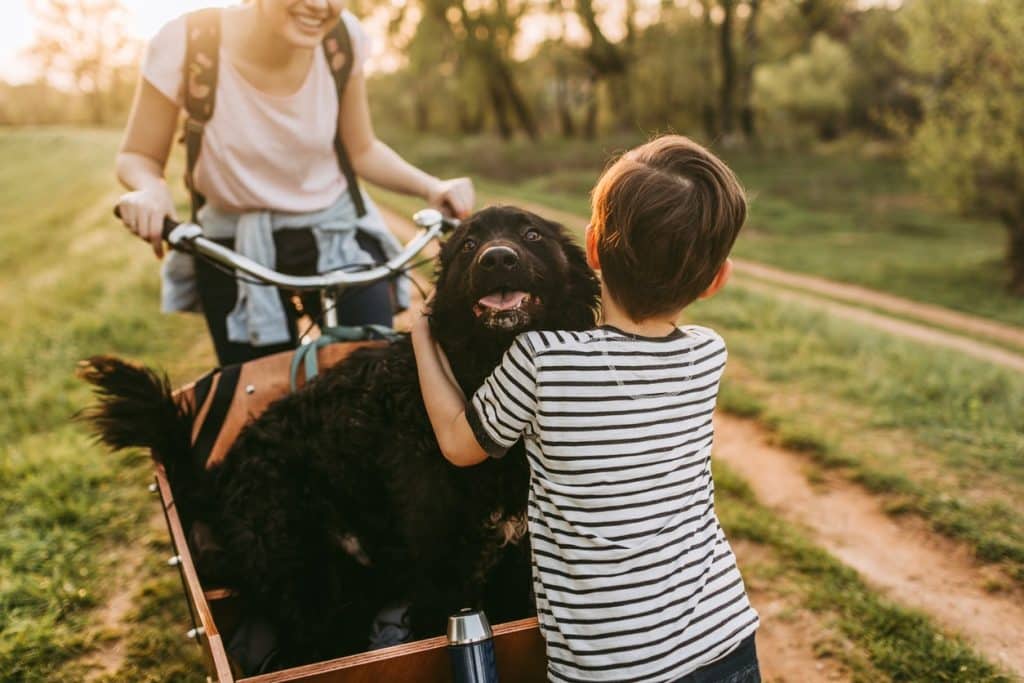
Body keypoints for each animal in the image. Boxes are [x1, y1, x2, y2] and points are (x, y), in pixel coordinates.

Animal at [83, 206, 602, 667]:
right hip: (304, 575)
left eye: (532, 235)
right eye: (469, 245)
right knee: (312, 650)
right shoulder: (441, 564)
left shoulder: (514, 559)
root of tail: (218, 479)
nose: (497, 258)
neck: (478, 372)